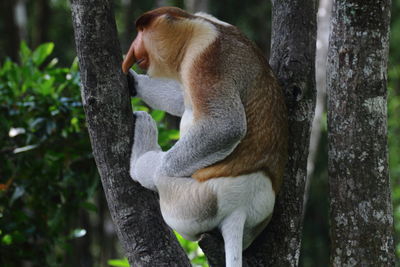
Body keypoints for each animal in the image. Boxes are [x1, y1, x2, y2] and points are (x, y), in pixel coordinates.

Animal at [122, 6, 288, 267]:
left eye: (142, 30)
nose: (132, 48)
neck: (198, 25)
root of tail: (241, 208)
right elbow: (181, 99)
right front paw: (133, 82)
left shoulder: (205, 58)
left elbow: (225, 125)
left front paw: (160, 165)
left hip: (195, 203)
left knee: (161, 180)